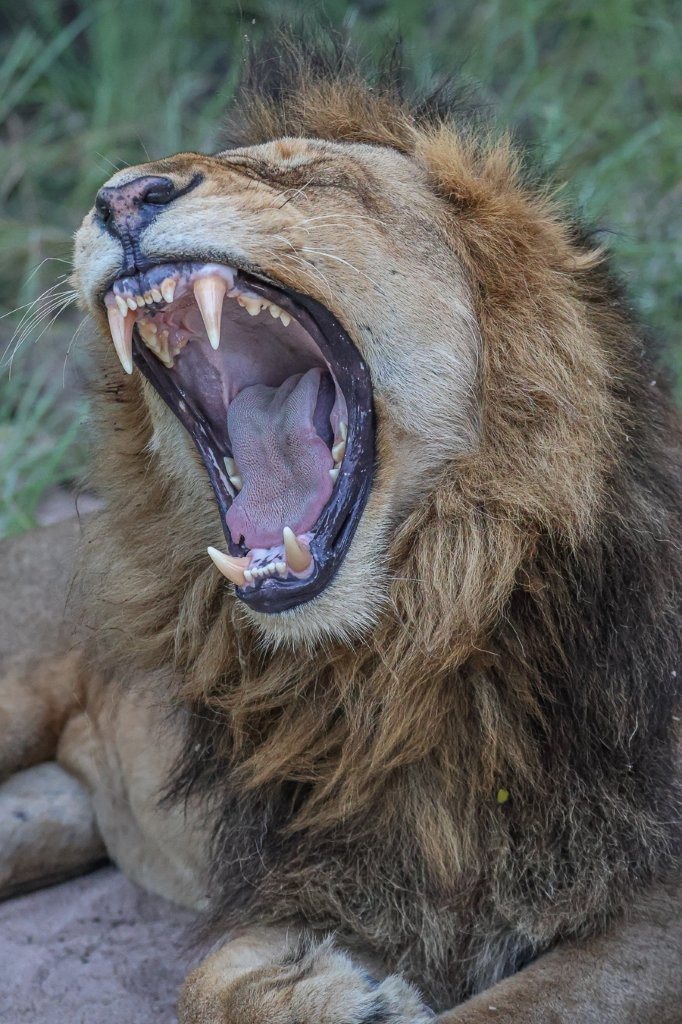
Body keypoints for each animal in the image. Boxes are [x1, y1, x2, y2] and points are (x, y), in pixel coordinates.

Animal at [1, 41, 680, 1023]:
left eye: (311, 175)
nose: (122, 197)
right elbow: (204, 984)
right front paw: (332, 991)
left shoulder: (650, 903)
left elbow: (507, 1007)